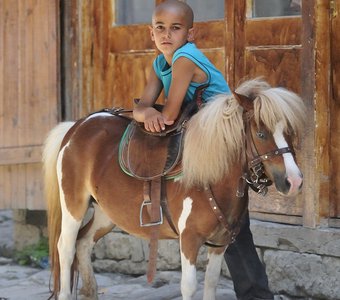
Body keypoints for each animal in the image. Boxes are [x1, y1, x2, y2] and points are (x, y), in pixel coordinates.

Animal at [42, 78, 306, 298]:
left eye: (289, 132)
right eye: (261, 134)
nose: (294, 181)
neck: (210, 175)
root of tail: (76, 127)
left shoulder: (220, 244)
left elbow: (211, 284)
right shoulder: (189, 239)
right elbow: (189, 287)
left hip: (106, 213)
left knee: (84, 244)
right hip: (73, 206)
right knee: (66, 248)